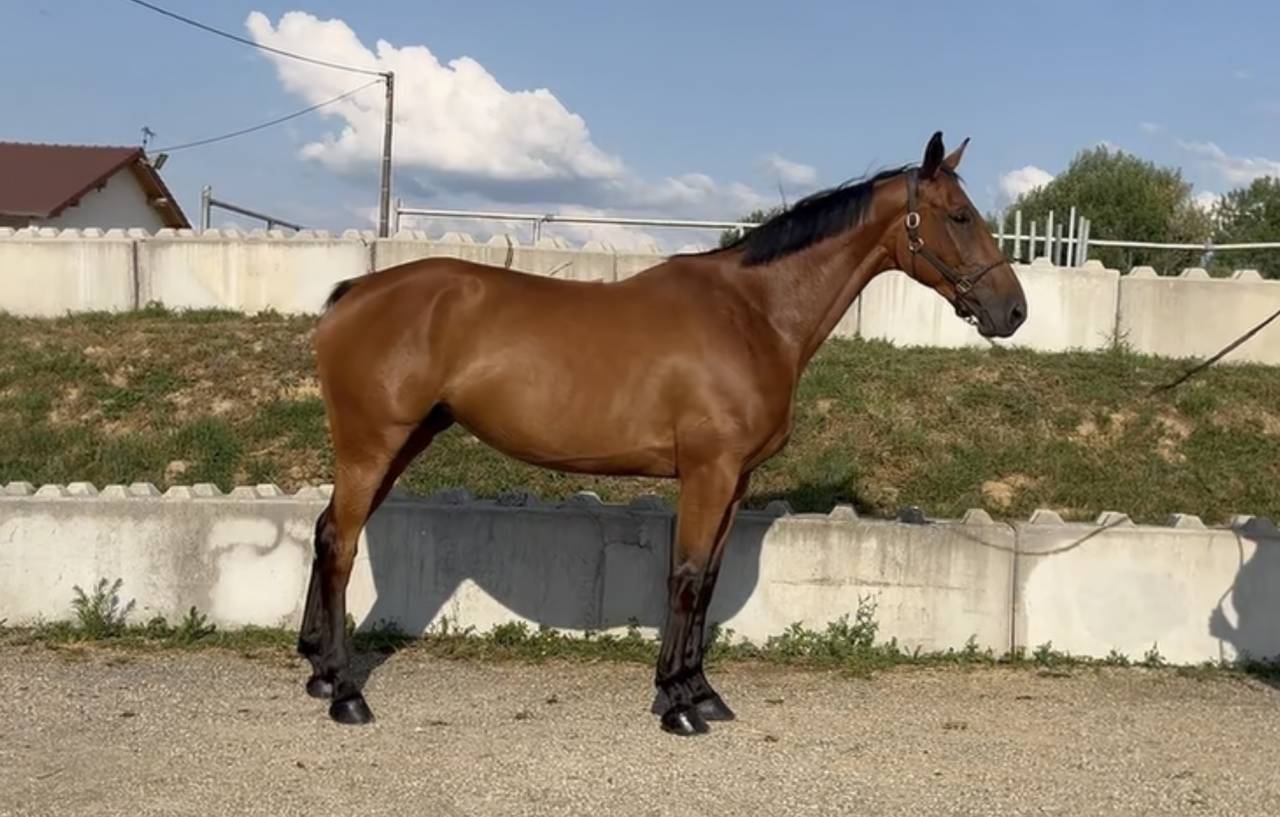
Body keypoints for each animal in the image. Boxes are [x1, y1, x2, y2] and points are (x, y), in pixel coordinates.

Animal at [297, 132, 1028, 736]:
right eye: (960, 216)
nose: (1013, 310)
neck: (753, 314)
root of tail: (354, 291)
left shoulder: (737, 480)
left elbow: (707, 581)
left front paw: (699, 690)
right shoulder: (709, 472)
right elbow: (685, 575)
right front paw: (677, 703)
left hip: (401, 443)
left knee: (327, 531)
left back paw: (318, 671)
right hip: (372, 446)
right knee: (340, 542)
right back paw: (346, 693)